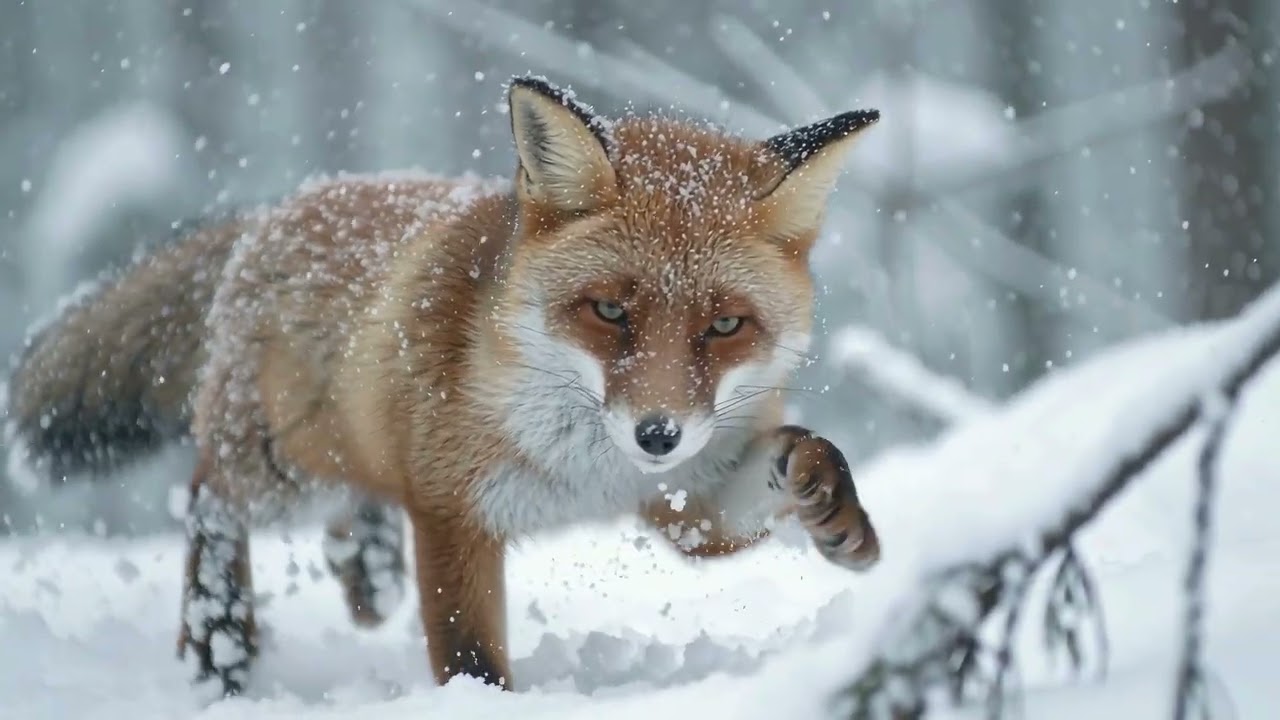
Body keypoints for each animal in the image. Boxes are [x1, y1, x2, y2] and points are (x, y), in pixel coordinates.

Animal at [3, 76, 882, 697]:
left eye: (727, 325)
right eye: (608, 311)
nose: (657, 434)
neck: (588, 470)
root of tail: (282, 208)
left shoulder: (686, 503)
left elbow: (794, 464)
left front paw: (833, 507)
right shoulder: (452, 513)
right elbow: (471, 658)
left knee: (351, 505)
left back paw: (366, 572)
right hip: (279, 467)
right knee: (206, 496)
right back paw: (220, 645)